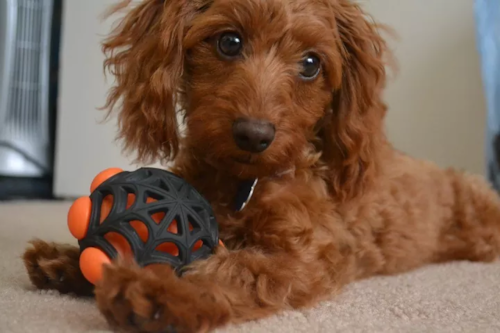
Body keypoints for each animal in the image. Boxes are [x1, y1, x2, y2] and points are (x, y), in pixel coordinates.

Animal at [23, 1, 500, 330]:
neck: (242, 183)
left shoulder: (305, 256)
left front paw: (161, 293)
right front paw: (67, 260)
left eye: (311, 64)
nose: (254, 135)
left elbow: (237, 270)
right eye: (229, 42)